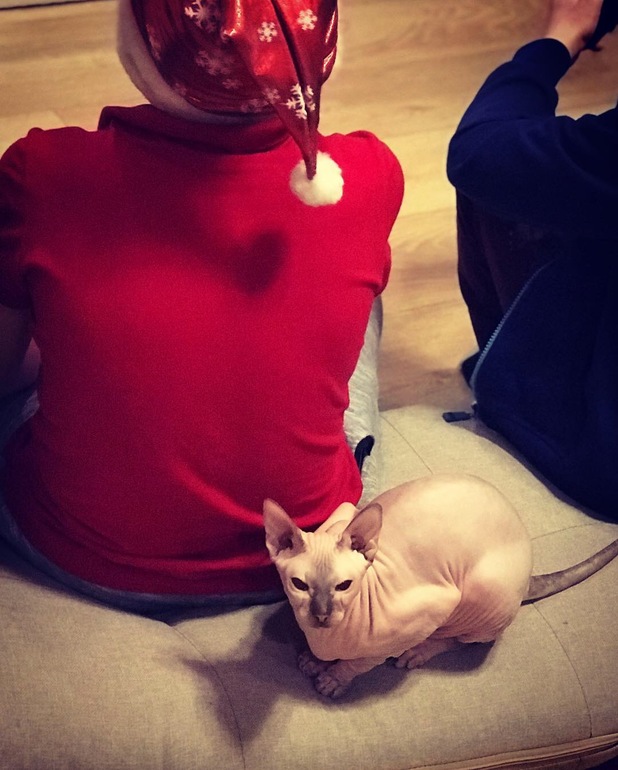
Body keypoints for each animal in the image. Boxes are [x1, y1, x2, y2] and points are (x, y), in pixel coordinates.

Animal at [263, 474, 618, 698]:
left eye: (344, 585)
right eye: (299, 584)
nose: (321, 615)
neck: (328, 635)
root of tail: (529, 571)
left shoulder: (432, 607)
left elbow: (363, 661)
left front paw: (334, 678)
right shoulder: (344, 512)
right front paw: (316, 660)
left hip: (484, 591)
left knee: (463, 639)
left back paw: (419, 652)